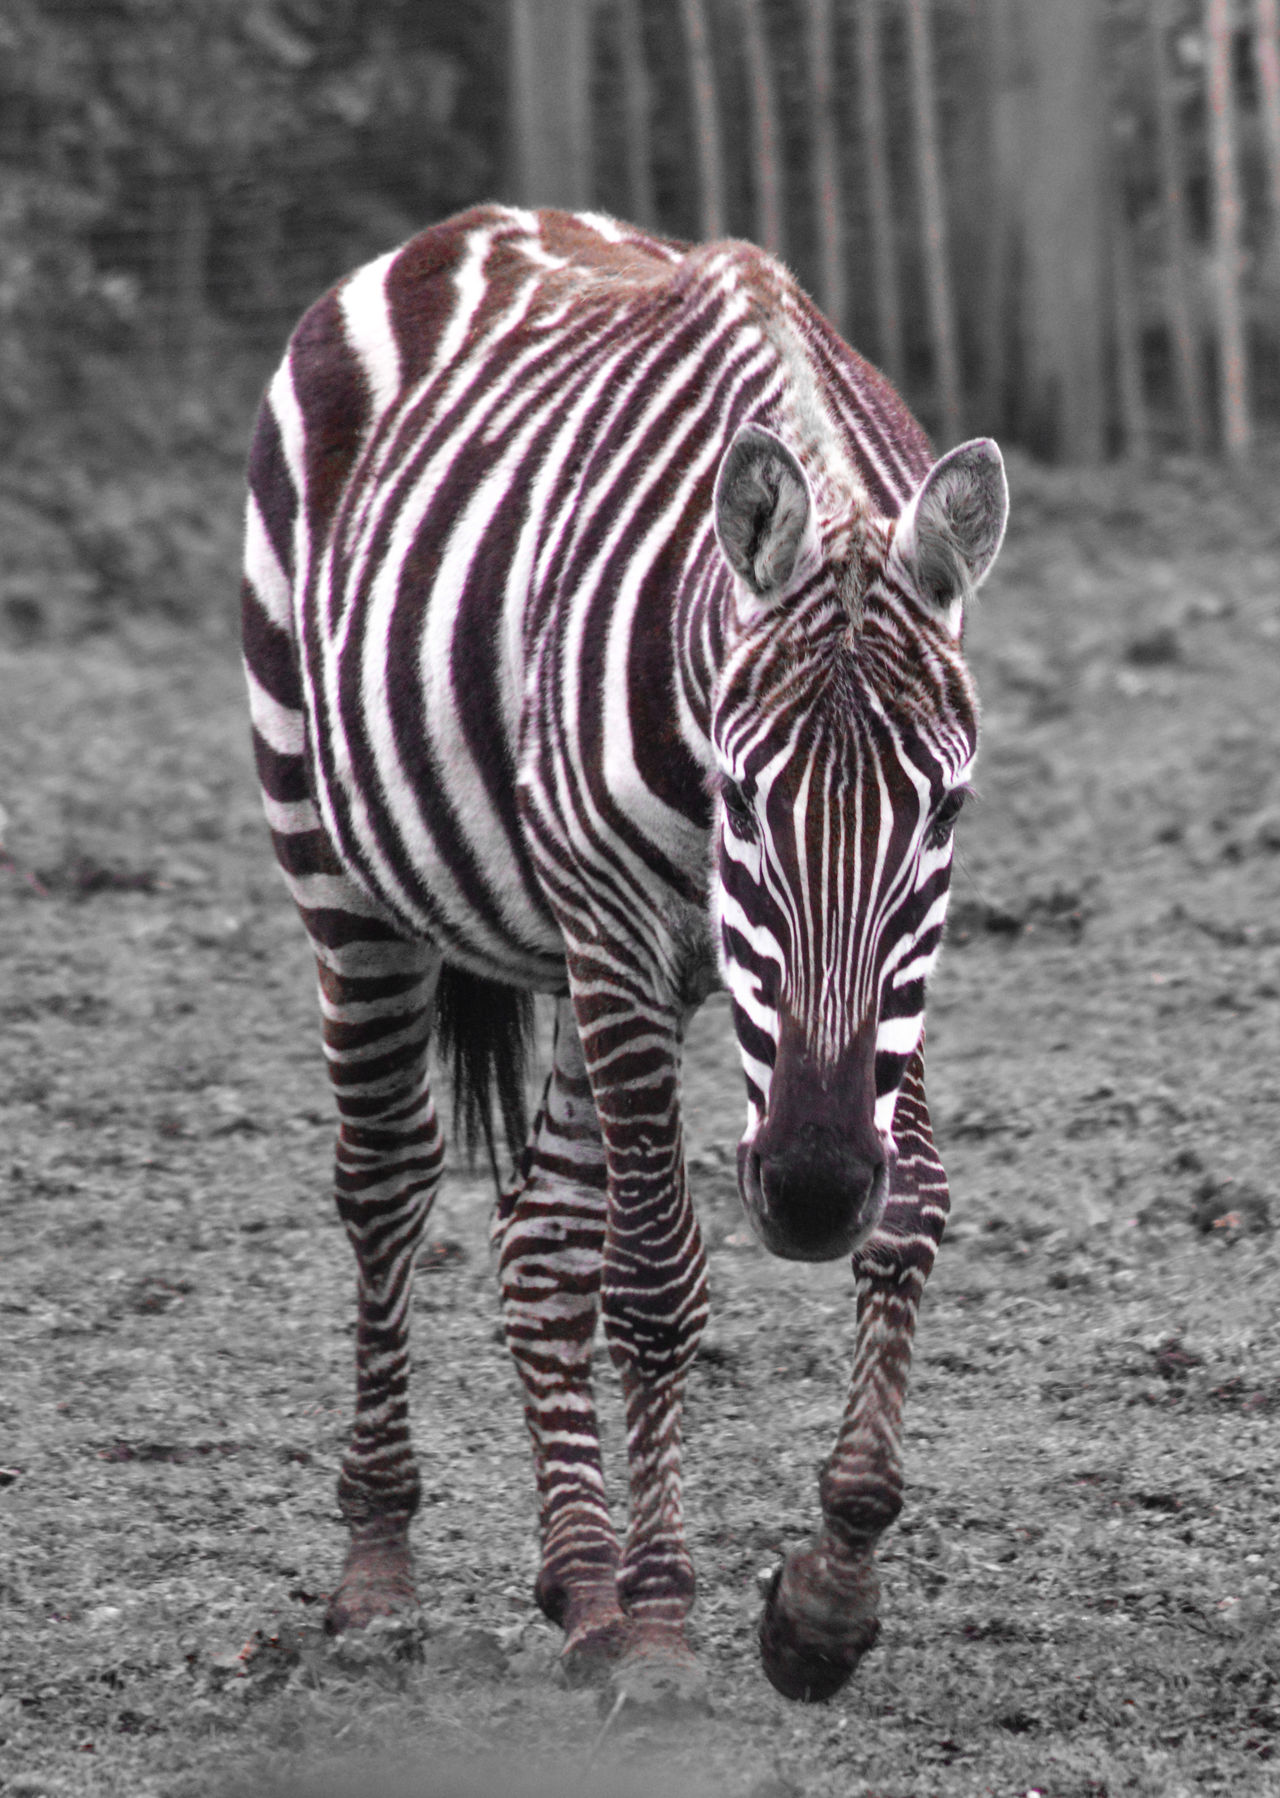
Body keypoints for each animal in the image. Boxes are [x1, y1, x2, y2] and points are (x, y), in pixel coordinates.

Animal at [242, 204, 1006, 1704]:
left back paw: (577, 1585)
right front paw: (661, 1630)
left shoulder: (896, 978)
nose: (810, 1192)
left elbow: (916, 1210)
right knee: (388, 1184)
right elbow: (653, 1280)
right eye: (743, 801)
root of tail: (469, 226)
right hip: (343, 860)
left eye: (942, 811)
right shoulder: (619, 933)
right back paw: (382, 1566)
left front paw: (824, 1594)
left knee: (540, 1228)